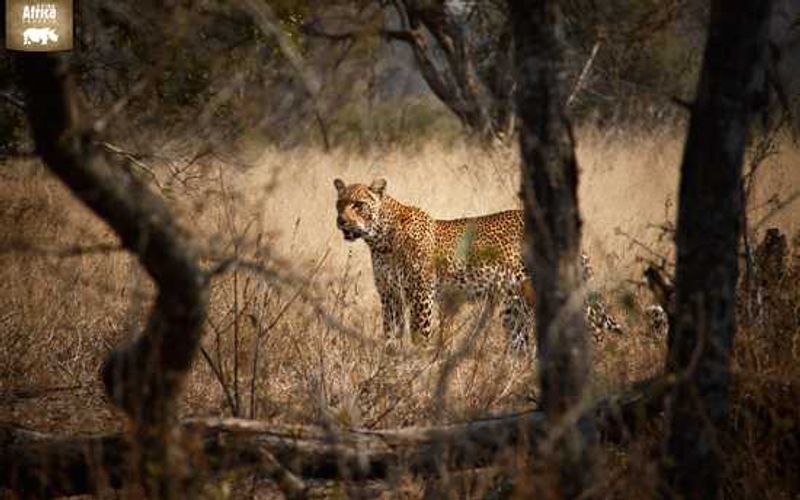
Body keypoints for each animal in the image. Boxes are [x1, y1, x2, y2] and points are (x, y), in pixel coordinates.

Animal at [334, 177, 623, 350]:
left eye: (358, 205)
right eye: (339, 204)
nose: (341, 221)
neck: (380, 240)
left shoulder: (421, 294)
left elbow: (420, 336)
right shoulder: (390, 296)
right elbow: (390, 336)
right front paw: (390, 371)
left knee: (594, 331)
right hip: (516, 305)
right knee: (520, 344)